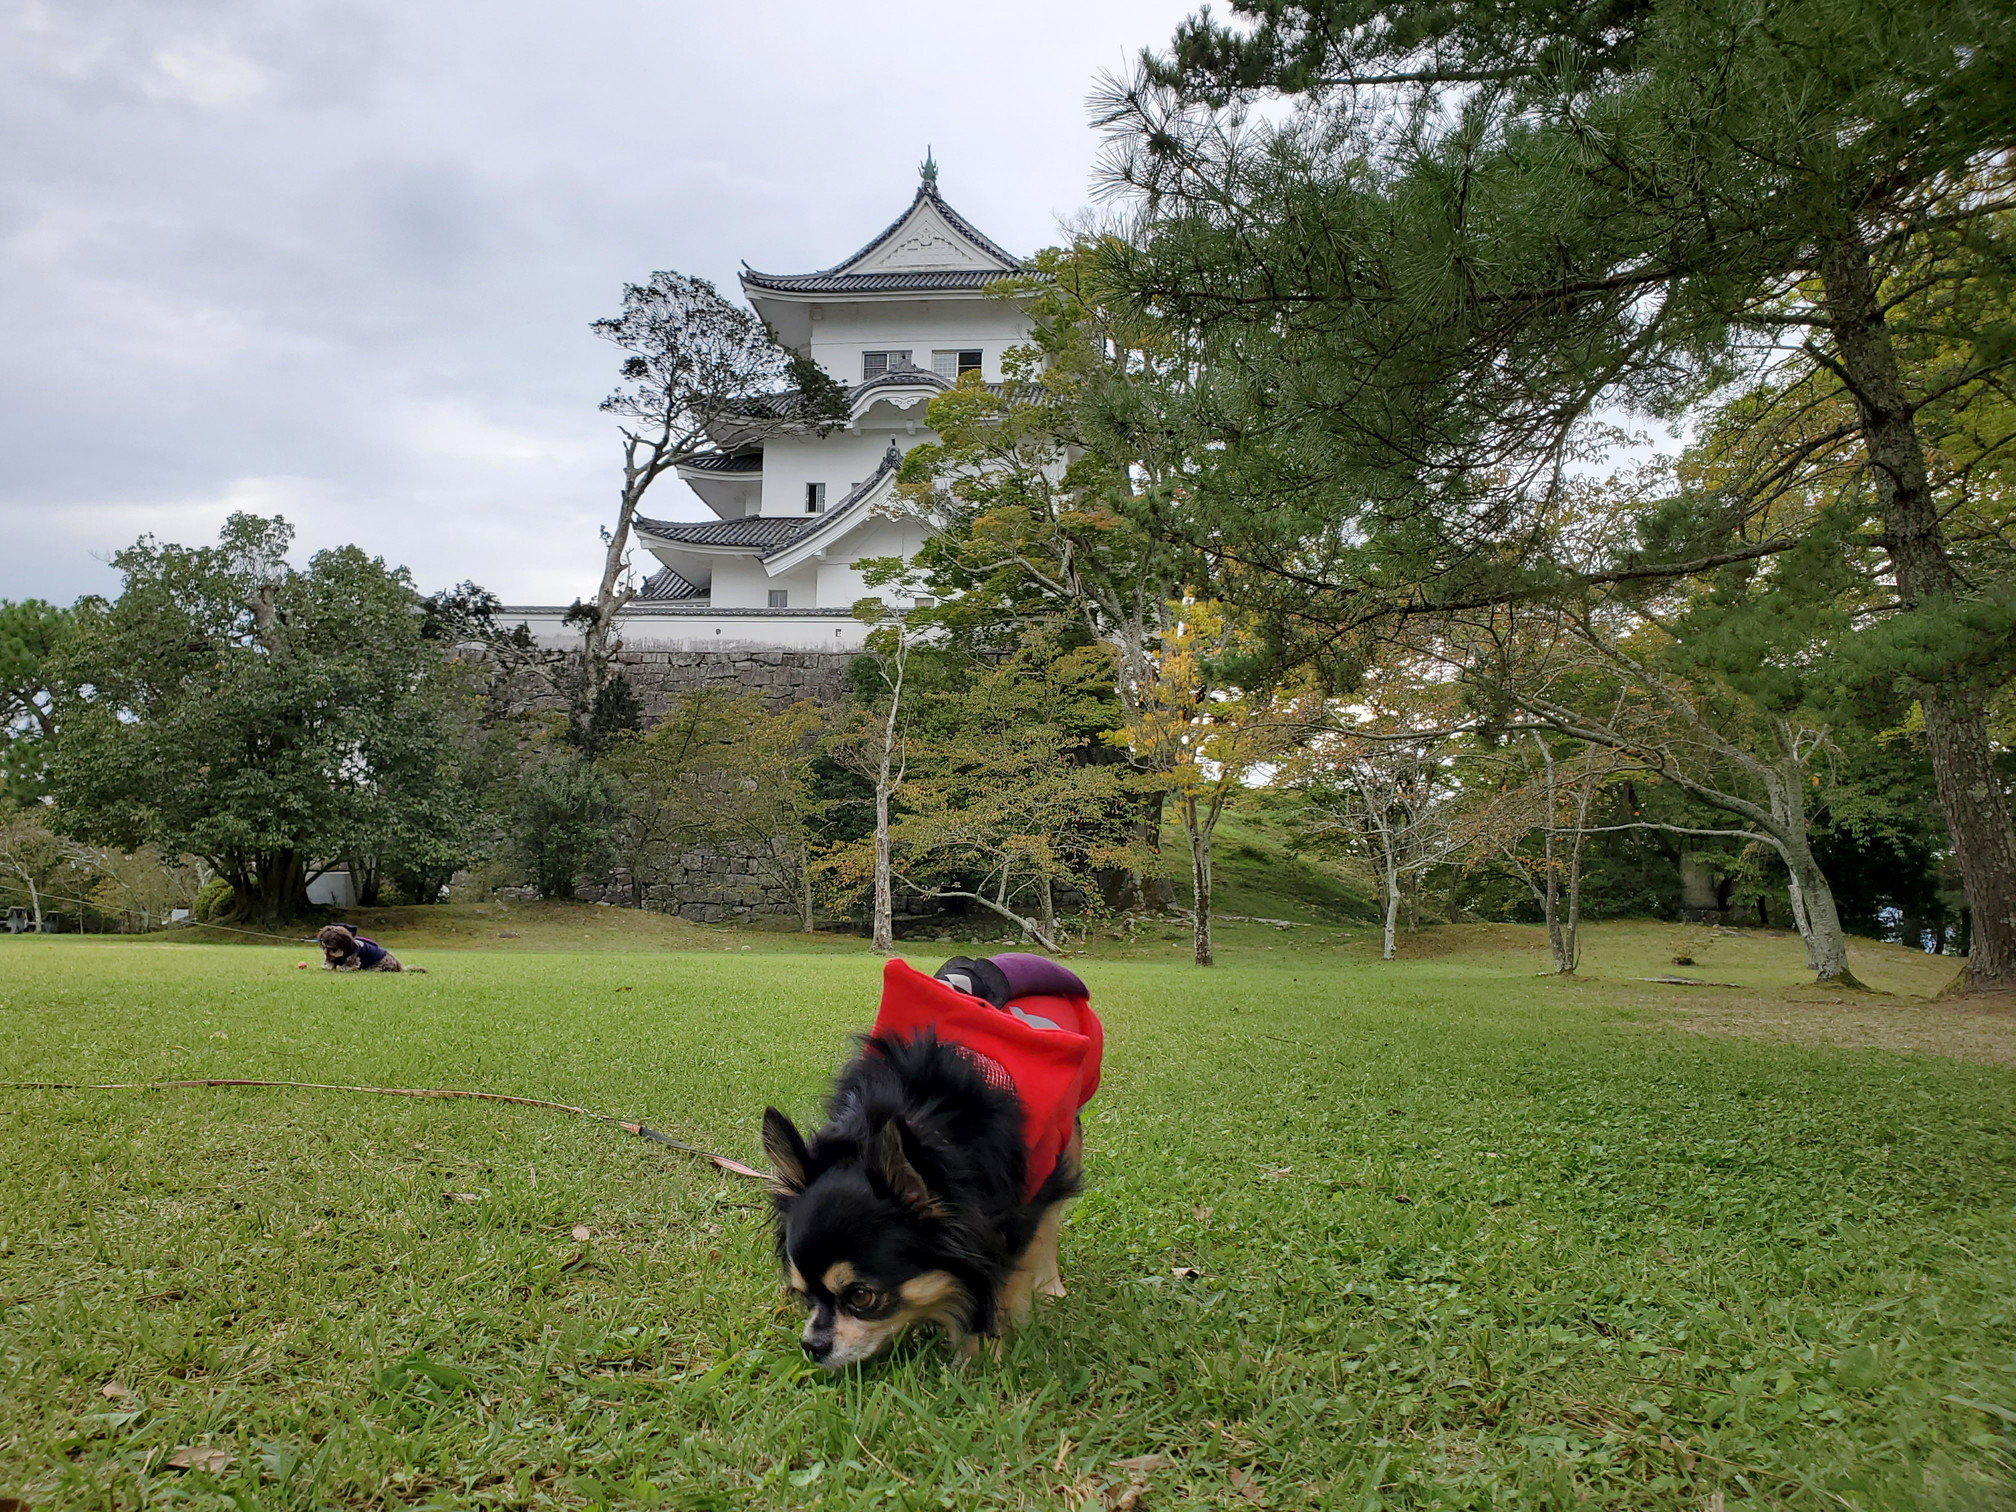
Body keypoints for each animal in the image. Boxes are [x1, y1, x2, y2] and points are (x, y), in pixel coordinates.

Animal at [762, 959, 1104, 1370]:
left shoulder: (1024, 1202)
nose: (811, 1346)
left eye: (861, 1297)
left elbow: (1002, 1282)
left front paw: (982, 1355)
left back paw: (1050, 1286)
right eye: (802, 1294)